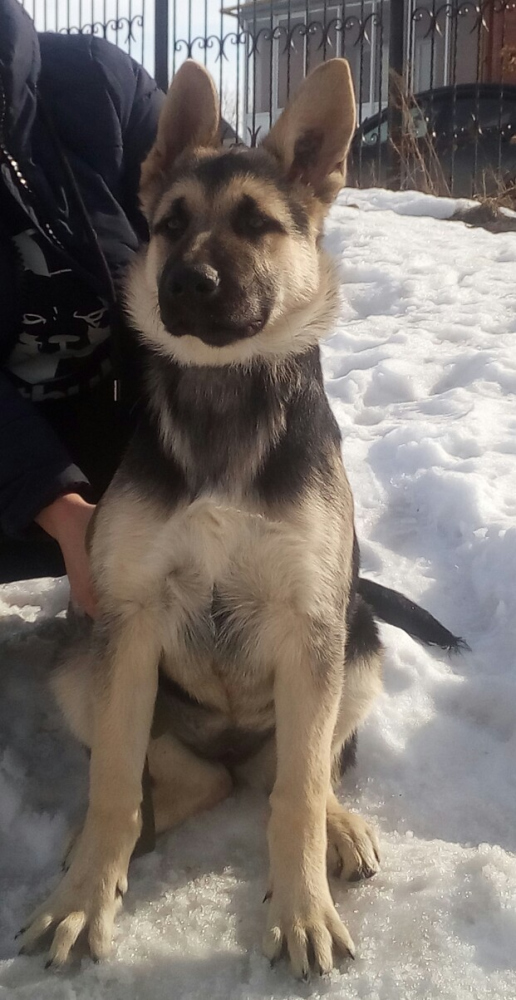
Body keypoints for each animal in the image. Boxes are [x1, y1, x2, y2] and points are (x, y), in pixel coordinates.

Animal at [20, 58, 464, 977]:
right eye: (169, 225)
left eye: (258, 224)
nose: (186, 283)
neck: (225, 399)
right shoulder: (130, 615)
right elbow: (114, 782)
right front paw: (83, 898)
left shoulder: (310, 619)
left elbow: (297, 791)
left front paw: (302, 912)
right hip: (85, 661)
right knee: (193, 777)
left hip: (355, 641)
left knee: (303, 770)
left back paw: (340, 827)